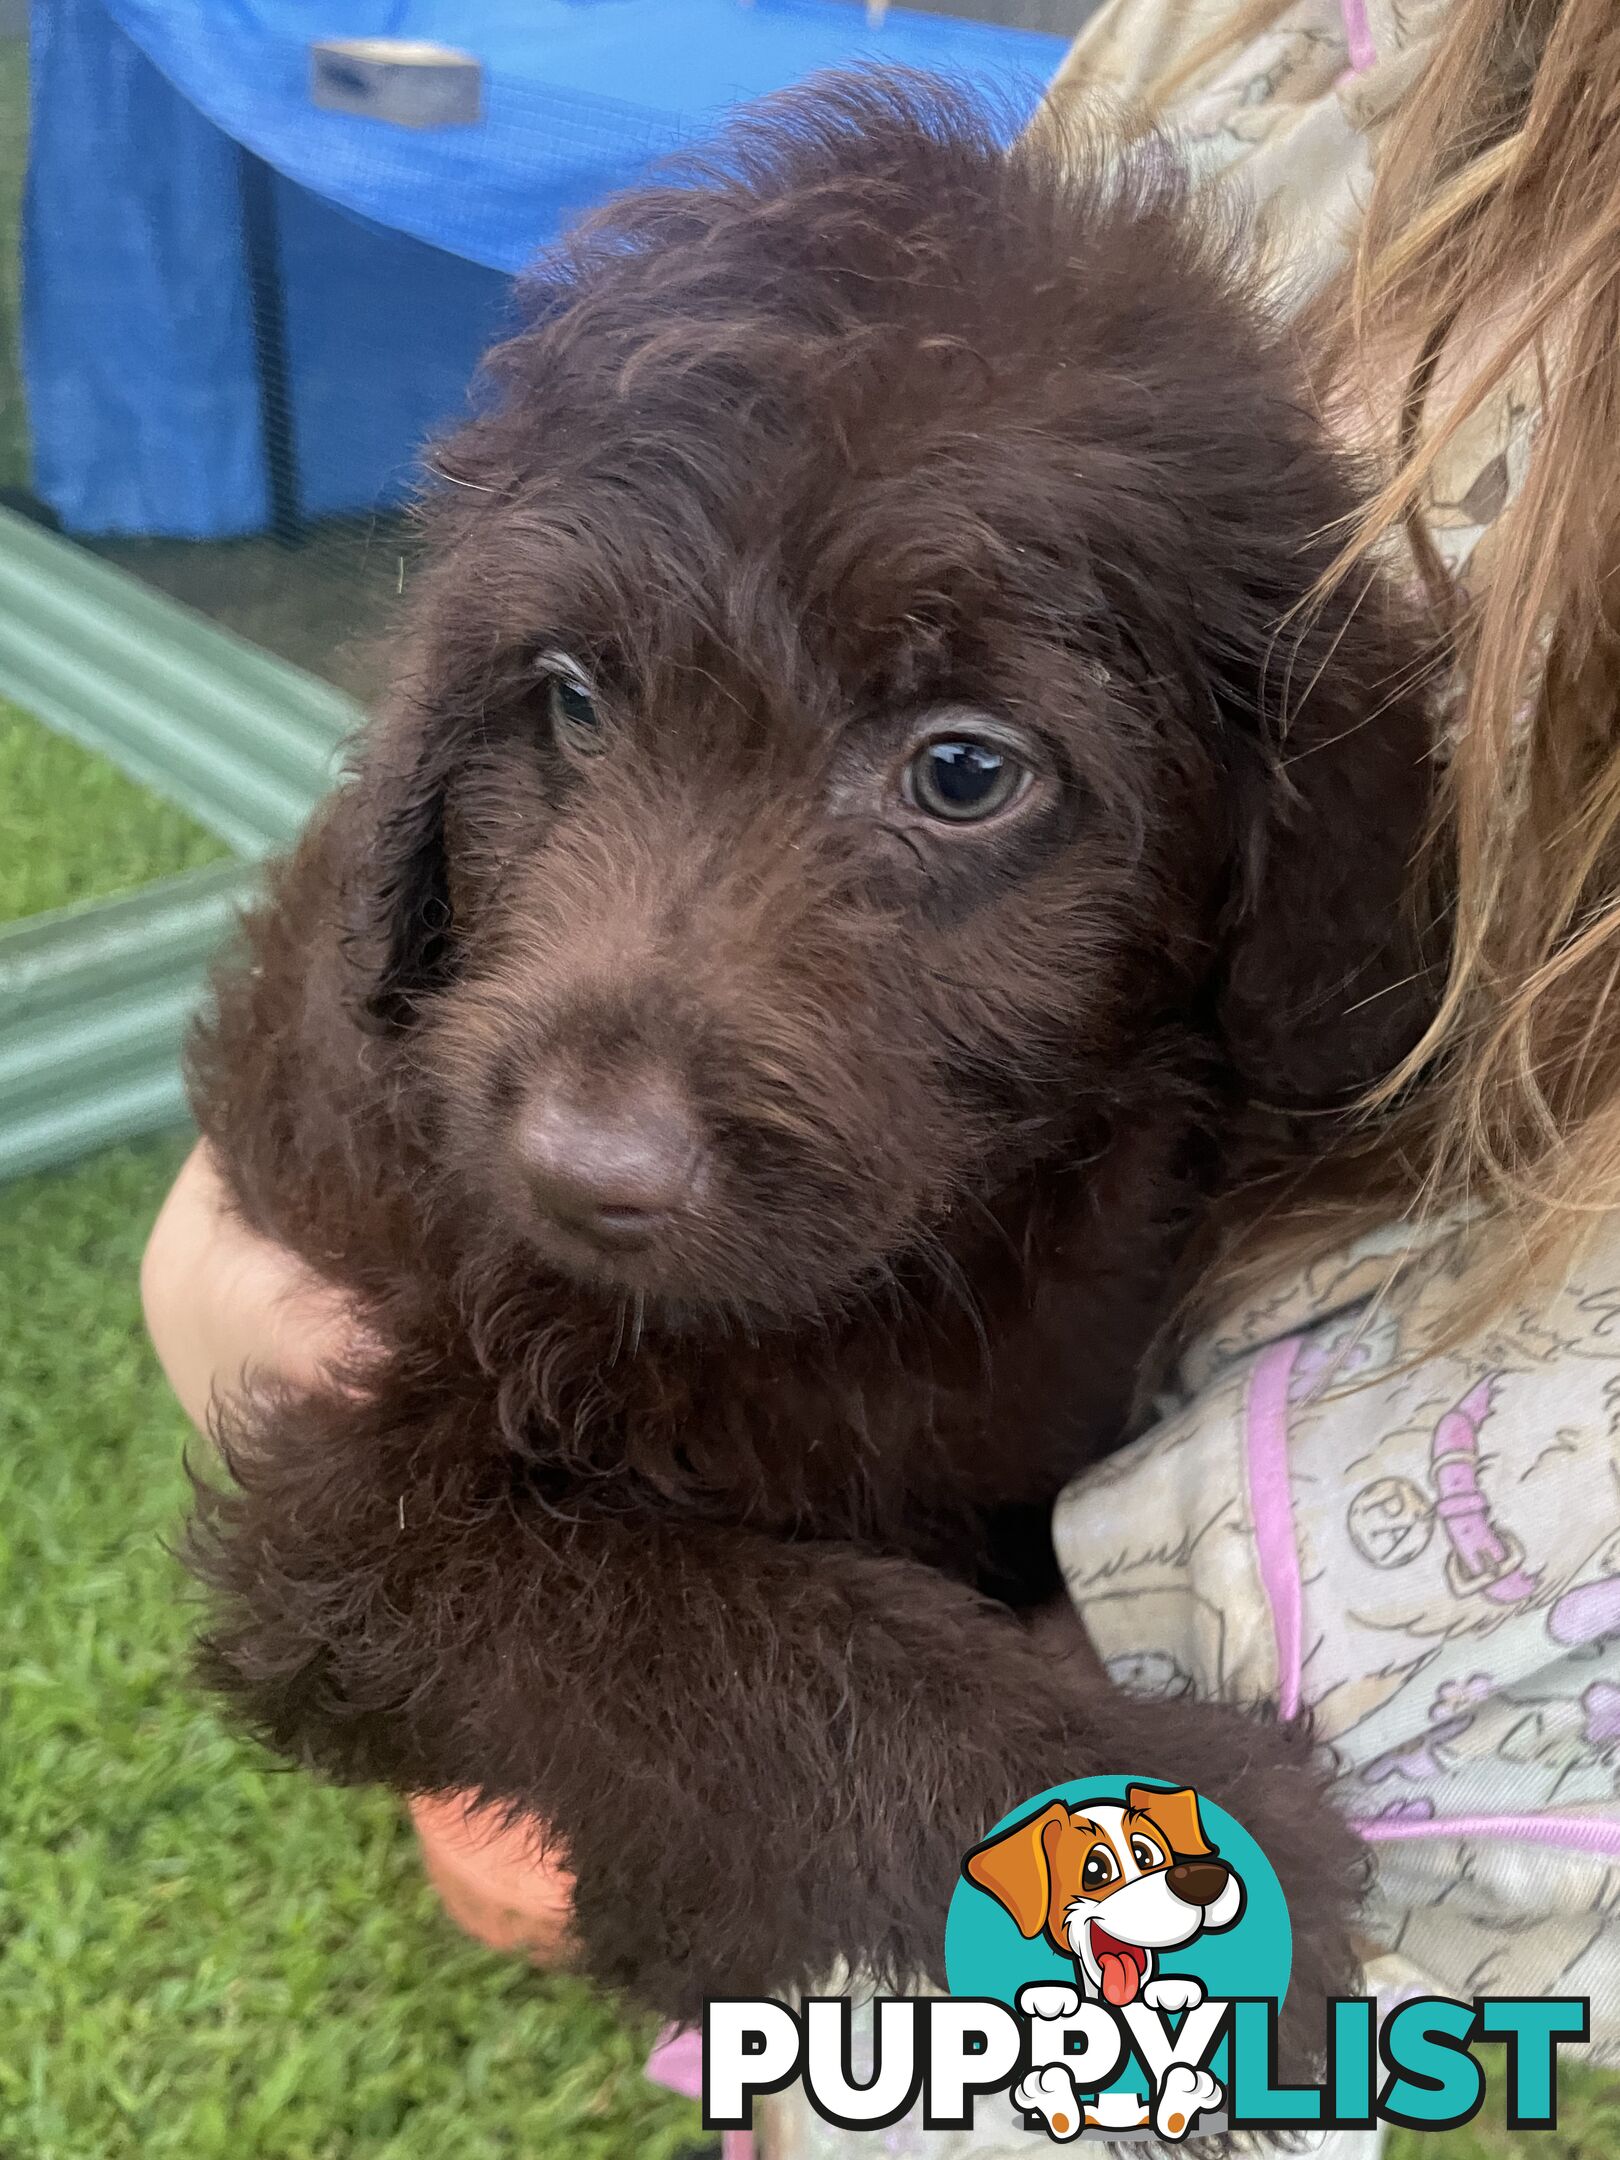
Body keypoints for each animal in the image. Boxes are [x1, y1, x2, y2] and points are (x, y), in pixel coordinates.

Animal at [183, 71, 1442, 2039]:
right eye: (568, 701)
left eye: (964, 770)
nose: (580, 1171)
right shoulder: (351, 1512)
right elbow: (681, 1619)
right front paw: (1165, 1807)